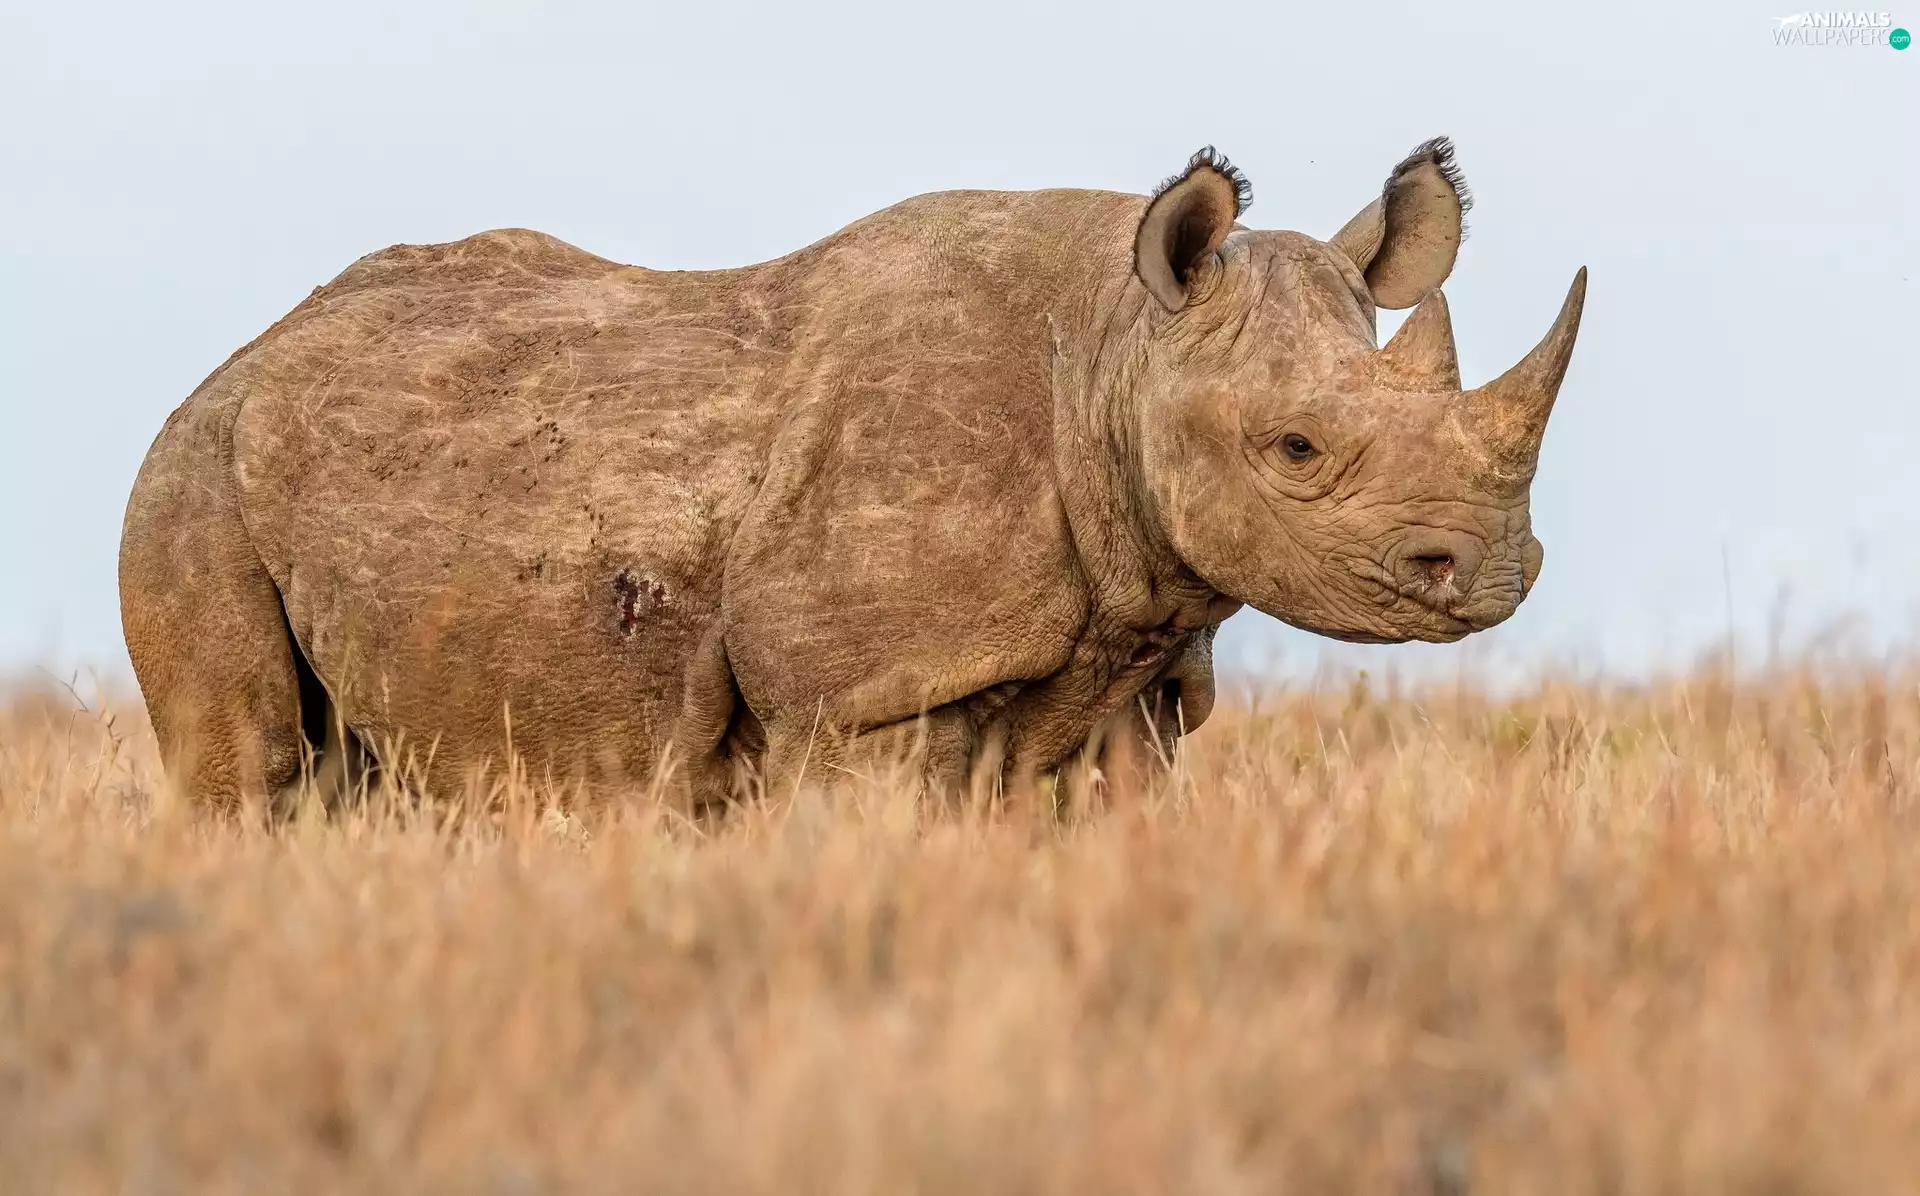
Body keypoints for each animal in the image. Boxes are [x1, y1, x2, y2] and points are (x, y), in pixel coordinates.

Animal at [118, 137, 1585, 812]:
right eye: (1296, 449)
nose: (1495, 573)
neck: (1118, 349)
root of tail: (237, 361)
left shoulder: (1137, 666)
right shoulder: (866, 690)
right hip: (191, 477)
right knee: (250, 767)